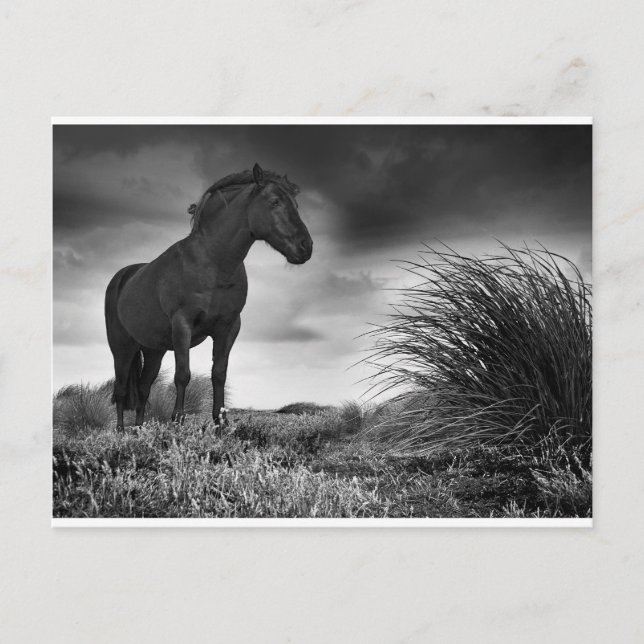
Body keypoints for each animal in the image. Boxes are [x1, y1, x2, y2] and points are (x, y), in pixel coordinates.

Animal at [104, 163, 313, 431]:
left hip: (153, 350)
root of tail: (122, 277)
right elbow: (183, 374)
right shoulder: (182, 325)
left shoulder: (228, 327)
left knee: (142, 388)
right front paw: (177, 420)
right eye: (275, 202)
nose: (305, 247)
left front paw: (221, 422)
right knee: (121, 390)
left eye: (295, 204)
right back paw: (121, 432)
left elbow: (219, 373)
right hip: (122, 347)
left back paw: (139, 430)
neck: (213, 262)